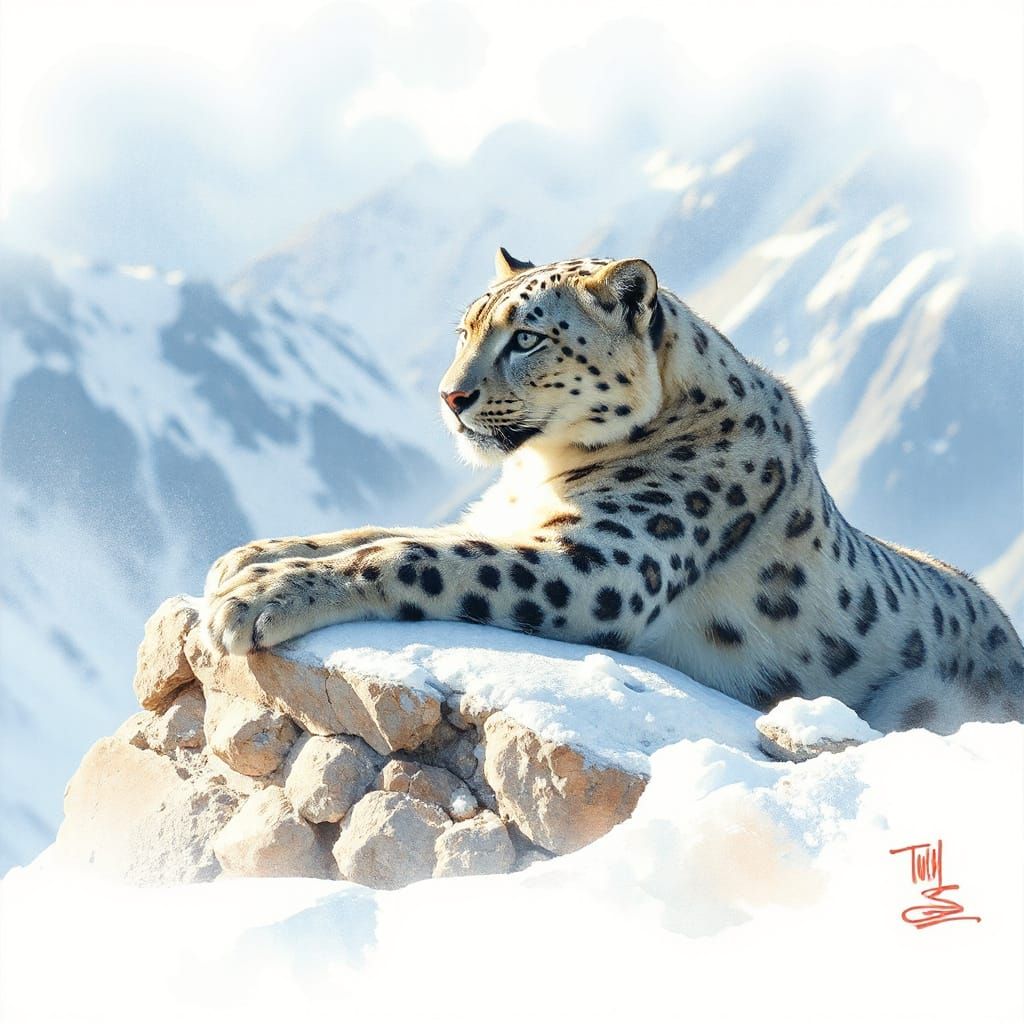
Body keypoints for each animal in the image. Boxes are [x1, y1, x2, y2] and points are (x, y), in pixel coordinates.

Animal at [203, 248, 1024, 734]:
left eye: (527, 337)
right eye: (463, 331)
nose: (449, 396)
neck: (536, 474)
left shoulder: (604, 562)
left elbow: (415, 556)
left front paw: (258, 599)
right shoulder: (512, 521)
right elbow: (386, 531)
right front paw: (250, 558)